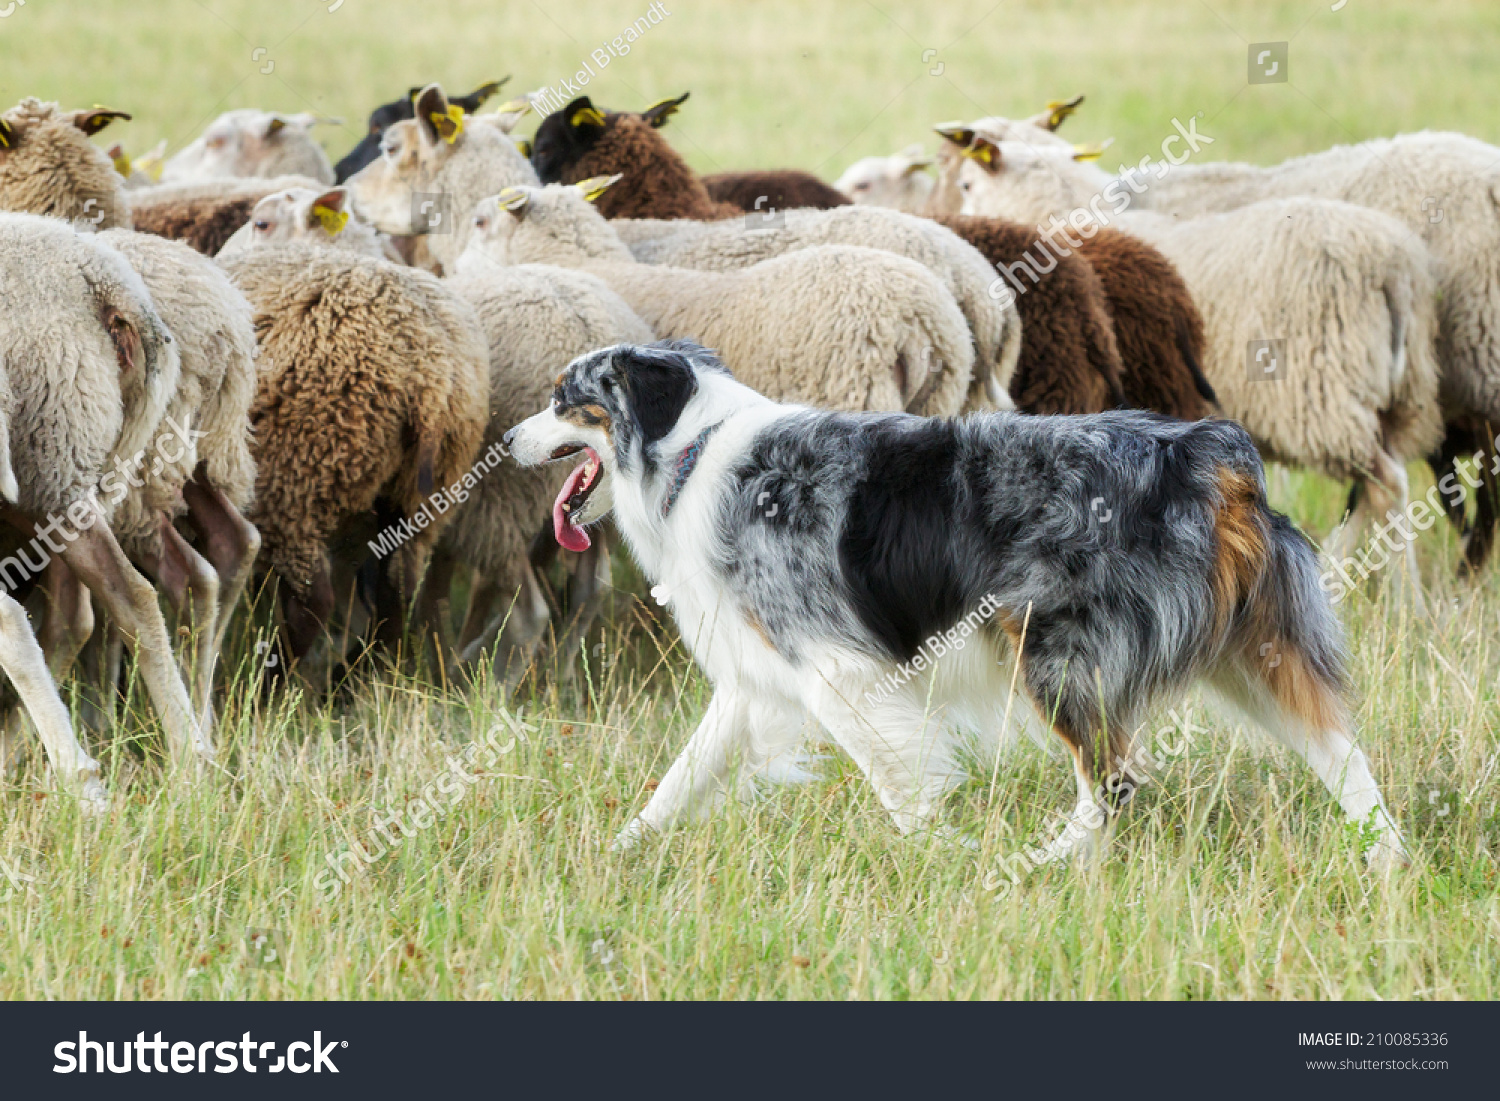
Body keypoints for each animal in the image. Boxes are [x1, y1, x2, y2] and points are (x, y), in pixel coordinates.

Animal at [954, 138, 1446, 609]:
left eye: (965, 184)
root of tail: (1395, 269)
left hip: (1321, 392)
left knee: (1387, 482)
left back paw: (1406, 601)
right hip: (1397, 398)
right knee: (1376, 486)